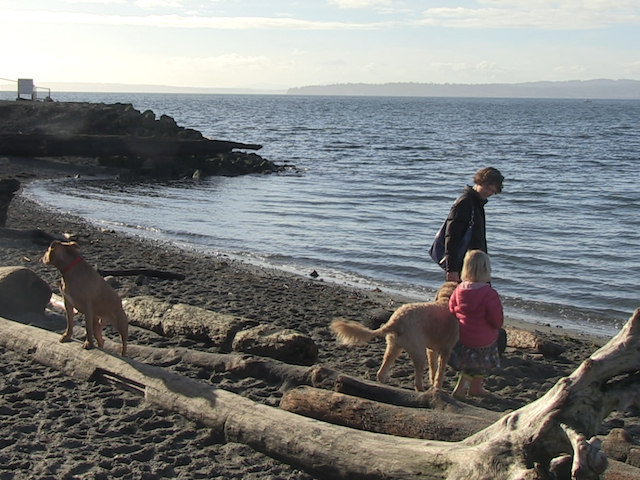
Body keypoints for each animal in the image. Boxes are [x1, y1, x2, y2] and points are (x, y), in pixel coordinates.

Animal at [330, 284, 460, 392]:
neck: (445, 301)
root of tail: (397, 319)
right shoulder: (446, 350)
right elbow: (440, 372)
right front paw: (437, 387)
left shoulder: (432, 350)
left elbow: (433, 369)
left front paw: (433, 383)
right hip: (418, 352)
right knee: (417, 379)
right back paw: (421, 390)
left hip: (393, 347)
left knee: (381, 372)